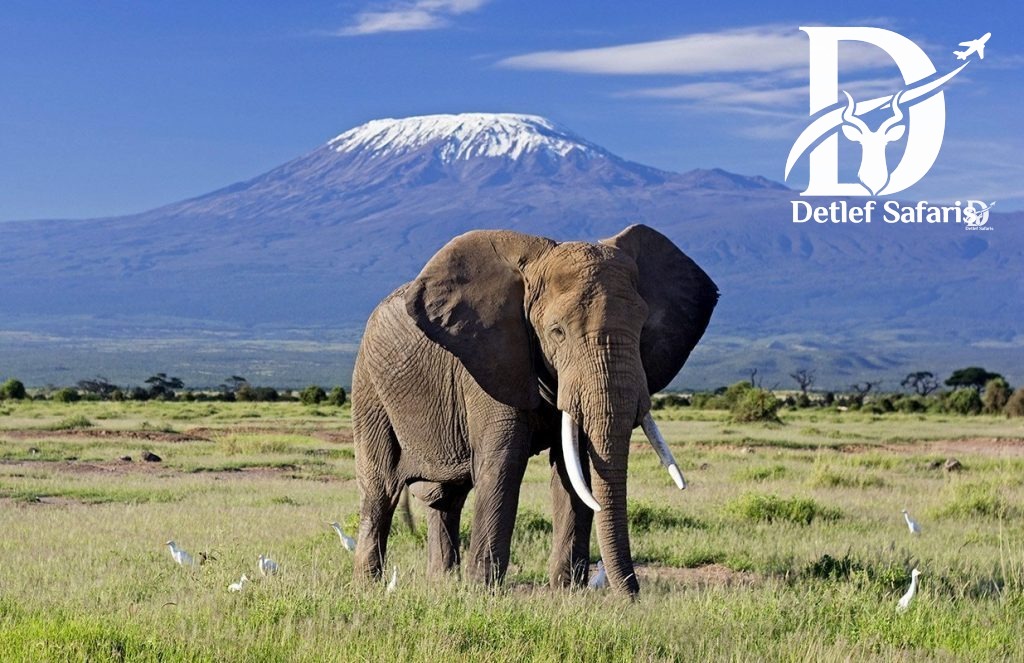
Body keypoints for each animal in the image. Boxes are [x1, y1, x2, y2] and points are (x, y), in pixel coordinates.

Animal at [351, 224, 718, 595]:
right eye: (557, 332)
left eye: (642, 329)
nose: (633, 597)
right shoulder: (491, 361)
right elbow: (504, 462)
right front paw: (483, 592)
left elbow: (574, 467)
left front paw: (568, 592)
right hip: (368, 386)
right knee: (381, 488)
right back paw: (369, 586)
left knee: (446, 498)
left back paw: (442, 583)